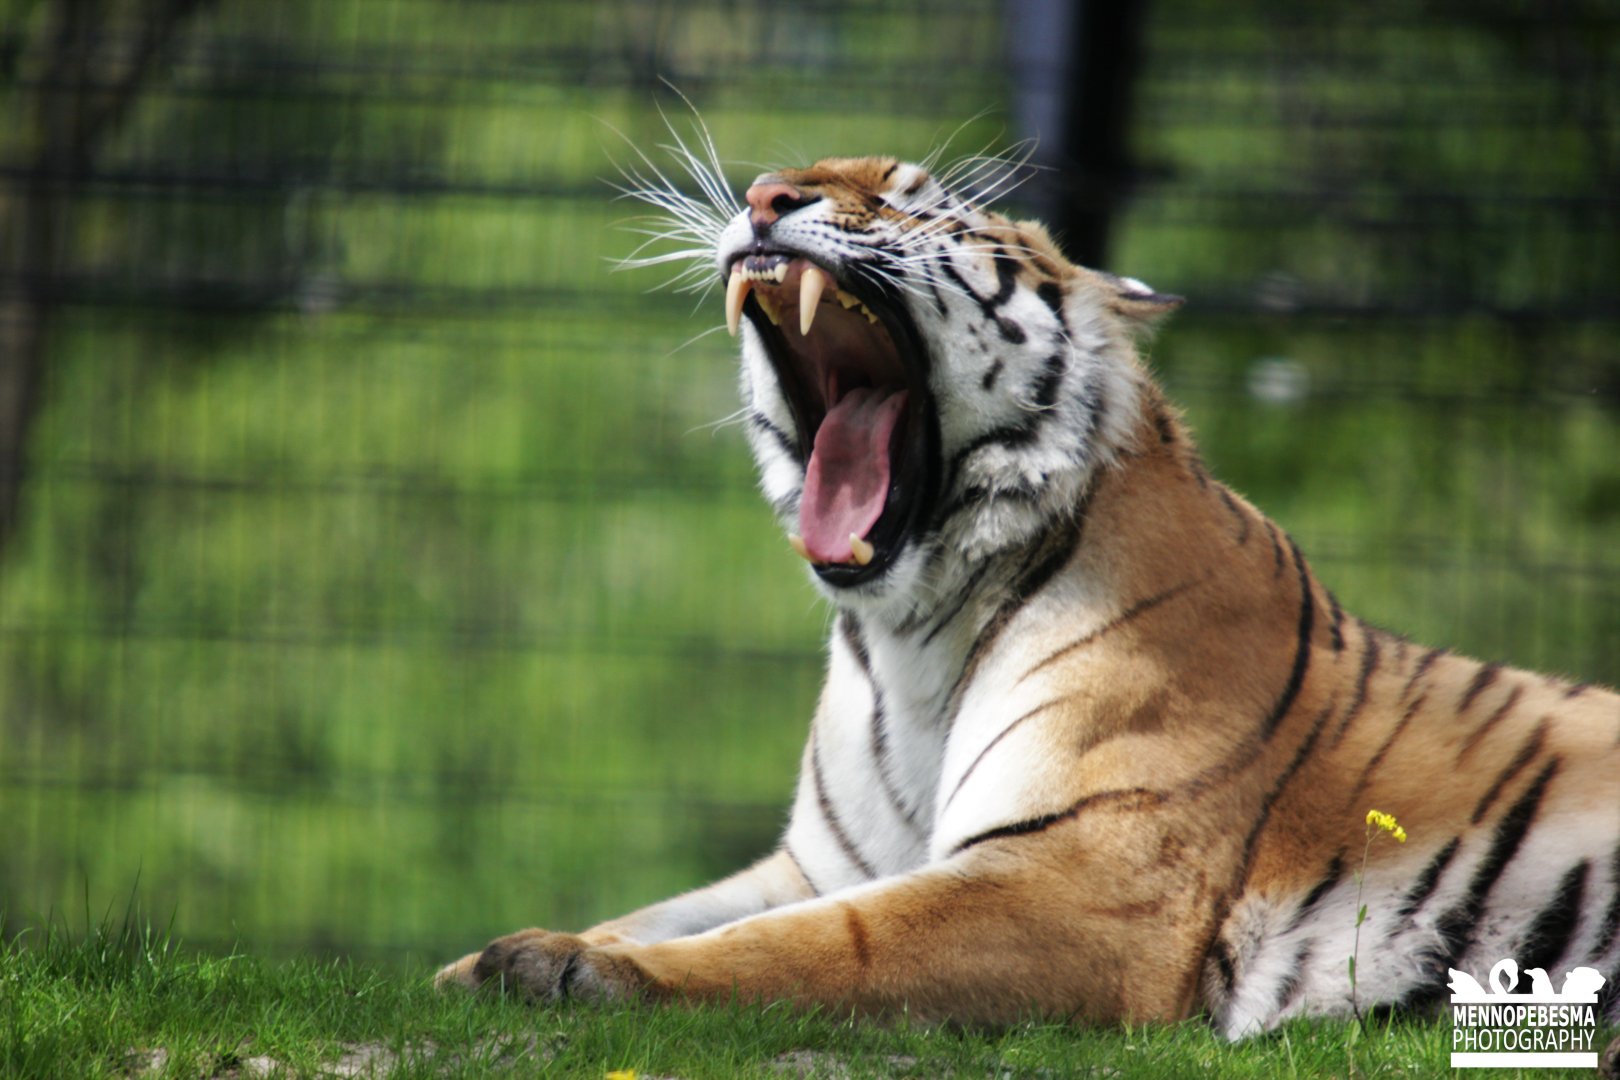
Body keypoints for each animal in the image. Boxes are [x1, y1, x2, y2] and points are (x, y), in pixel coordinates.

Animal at [437, 147, 1620, 1037]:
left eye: (908, 197)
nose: (765, 195)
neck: (910, 634)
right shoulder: (820, 863)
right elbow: (666, 910)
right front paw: (480, 964)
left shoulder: (1083, 877)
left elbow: (819, 945)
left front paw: (576, 972)